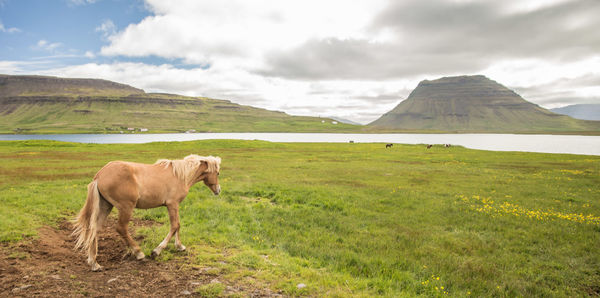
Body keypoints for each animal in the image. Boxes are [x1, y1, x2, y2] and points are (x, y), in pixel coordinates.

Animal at [70, 155, 220, 272]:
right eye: (218, 173)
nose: (218, 190)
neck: (180, 175)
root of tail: (99, 176)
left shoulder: (174, 206)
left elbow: (178, 225)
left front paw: (180, 246)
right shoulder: (172, 204)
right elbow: (175, 226)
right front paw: (157, 251)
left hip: (106, 206)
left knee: (94, 229)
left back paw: (94, 263)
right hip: (126, 208)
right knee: (121, 228)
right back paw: (139, 253)